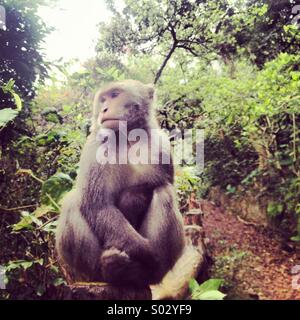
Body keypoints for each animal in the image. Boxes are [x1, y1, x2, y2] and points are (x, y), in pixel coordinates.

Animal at [55, 79, 184, 288]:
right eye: (103, 99)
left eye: (115, 95)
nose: (104, 109)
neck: (127, 137)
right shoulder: (95, 147)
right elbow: (98, 205)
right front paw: (146, 251)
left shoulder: (160, 144)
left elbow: (159, 183)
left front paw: (133, 198)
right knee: (73, 202)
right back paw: (109, 270)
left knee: (164, 193)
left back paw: (142, 273)